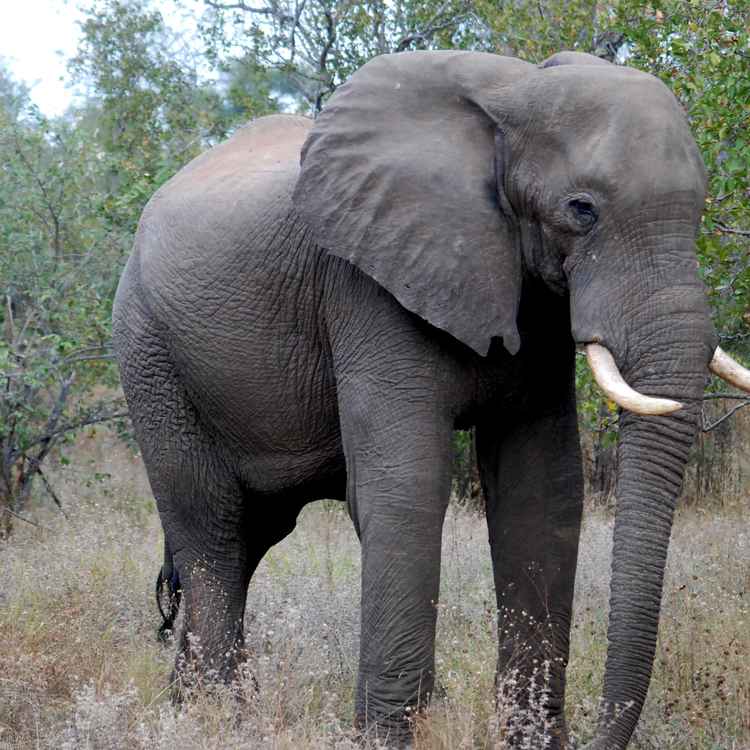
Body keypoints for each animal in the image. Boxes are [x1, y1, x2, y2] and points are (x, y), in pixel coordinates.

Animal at [112, 49, 750, 749]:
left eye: (700, 209)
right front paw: (383, 738)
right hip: (149, 354)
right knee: (214, 535)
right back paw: (220, 721)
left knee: (251, 536)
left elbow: (542, 493)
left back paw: (189, 712)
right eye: (581, 209)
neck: (513, 93)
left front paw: (529, 738)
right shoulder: (369, 285)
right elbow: (406, 487)